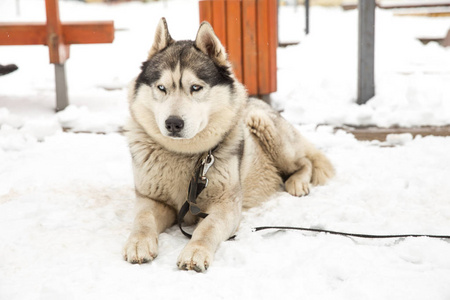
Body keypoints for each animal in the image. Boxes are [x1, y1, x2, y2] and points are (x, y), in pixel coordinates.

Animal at [123, 18, 334, 272]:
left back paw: (297, 183)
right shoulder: (151, 199)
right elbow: (142, 220)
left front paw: (195, 252)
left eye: (196, 87)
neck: (184, 155)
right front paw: (138, 243)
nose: (173, 123)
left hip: (264, 125)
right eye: (161, 88)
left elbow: (207, 228)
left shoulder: (226, 206)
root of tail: (258, 102)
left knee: (304, 162)